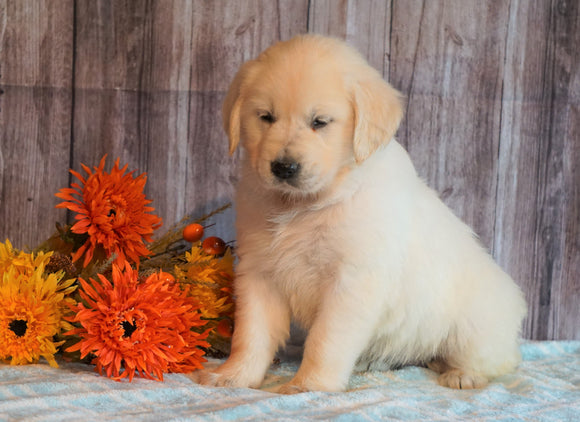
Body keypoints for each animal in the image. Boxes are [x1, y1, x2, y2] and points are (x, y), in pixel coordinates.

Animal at [198, 34, 524, 394]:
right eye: (265, 117)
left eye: (320, 122)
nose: (283, 167)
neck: (302, 204)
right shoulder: (259, 272)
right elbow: (251, 334)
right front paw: (234, 375)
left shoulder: (351, 281)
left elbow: (325, 340)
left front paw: (308, 385)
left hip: (476, 323)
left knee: (496, 360)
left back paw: (461, 374)